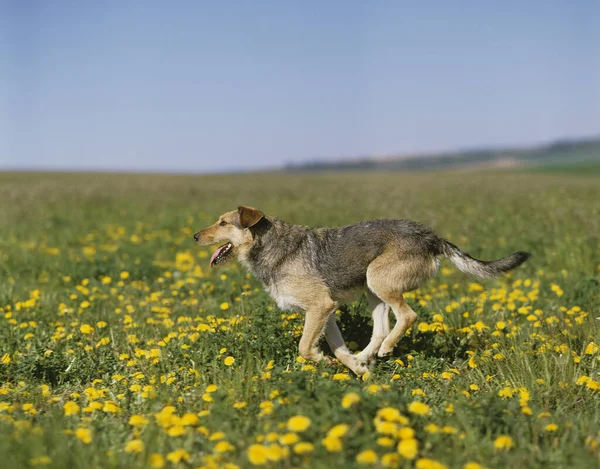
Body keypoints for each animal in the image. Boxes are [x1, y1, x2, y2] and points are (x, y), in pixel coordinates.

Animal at [193, 207, 528, 374]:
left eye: (223, 223)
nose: (195, 236)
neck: (269, 245)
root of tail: (431, 237)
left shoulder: (320, 306)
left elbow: (304, 348)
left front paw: (327, 362)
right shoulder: (327, 312)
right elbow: (339, 350)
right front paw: (355, 367)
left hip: (378, 279)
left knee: (407, 316)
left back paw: (387, 348)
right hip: (371, 290)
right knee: (381, 328)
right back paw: (368, 356)